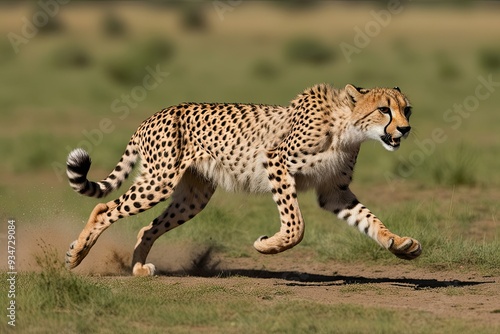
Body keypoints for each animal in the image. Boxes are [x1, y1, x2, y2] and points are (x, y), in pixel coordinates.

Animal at [64, 83, 420, 276]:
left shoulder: (334, 191)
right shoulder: (276, 161)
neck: (347, 128)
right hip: (159, 180)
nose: (405, 129)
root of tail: (154, 115)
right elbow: (296, 225)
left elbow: (369, 219)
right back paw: (77, 255)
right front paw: (268, 245)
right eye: (384, 110)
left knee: (146, 227)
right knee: (104, 209)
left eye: (407, 110)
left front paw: (399, 243)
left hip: (193, 196)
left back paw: (137, 268)